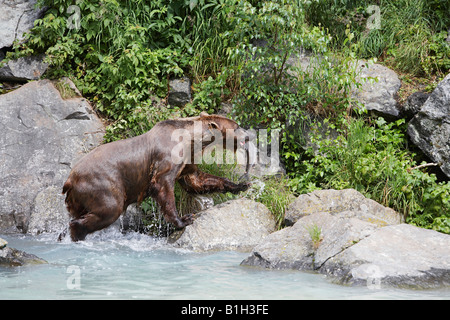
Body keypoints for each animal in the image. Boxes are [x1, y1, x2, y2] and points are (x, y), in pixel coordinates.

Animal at [59, 112, 253, 240]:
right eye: (237, 126)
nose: (249, 135)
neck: (192, 141)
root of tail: (70, 179)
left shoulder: (187, 161)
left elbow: (196, 180)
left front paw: (240, 185)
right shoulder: (168, 157)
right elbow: (162, 185)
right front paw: (184, 219)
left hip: (77, 199)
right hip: (101, 184)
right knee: (110, 208)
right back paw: (77, 232)